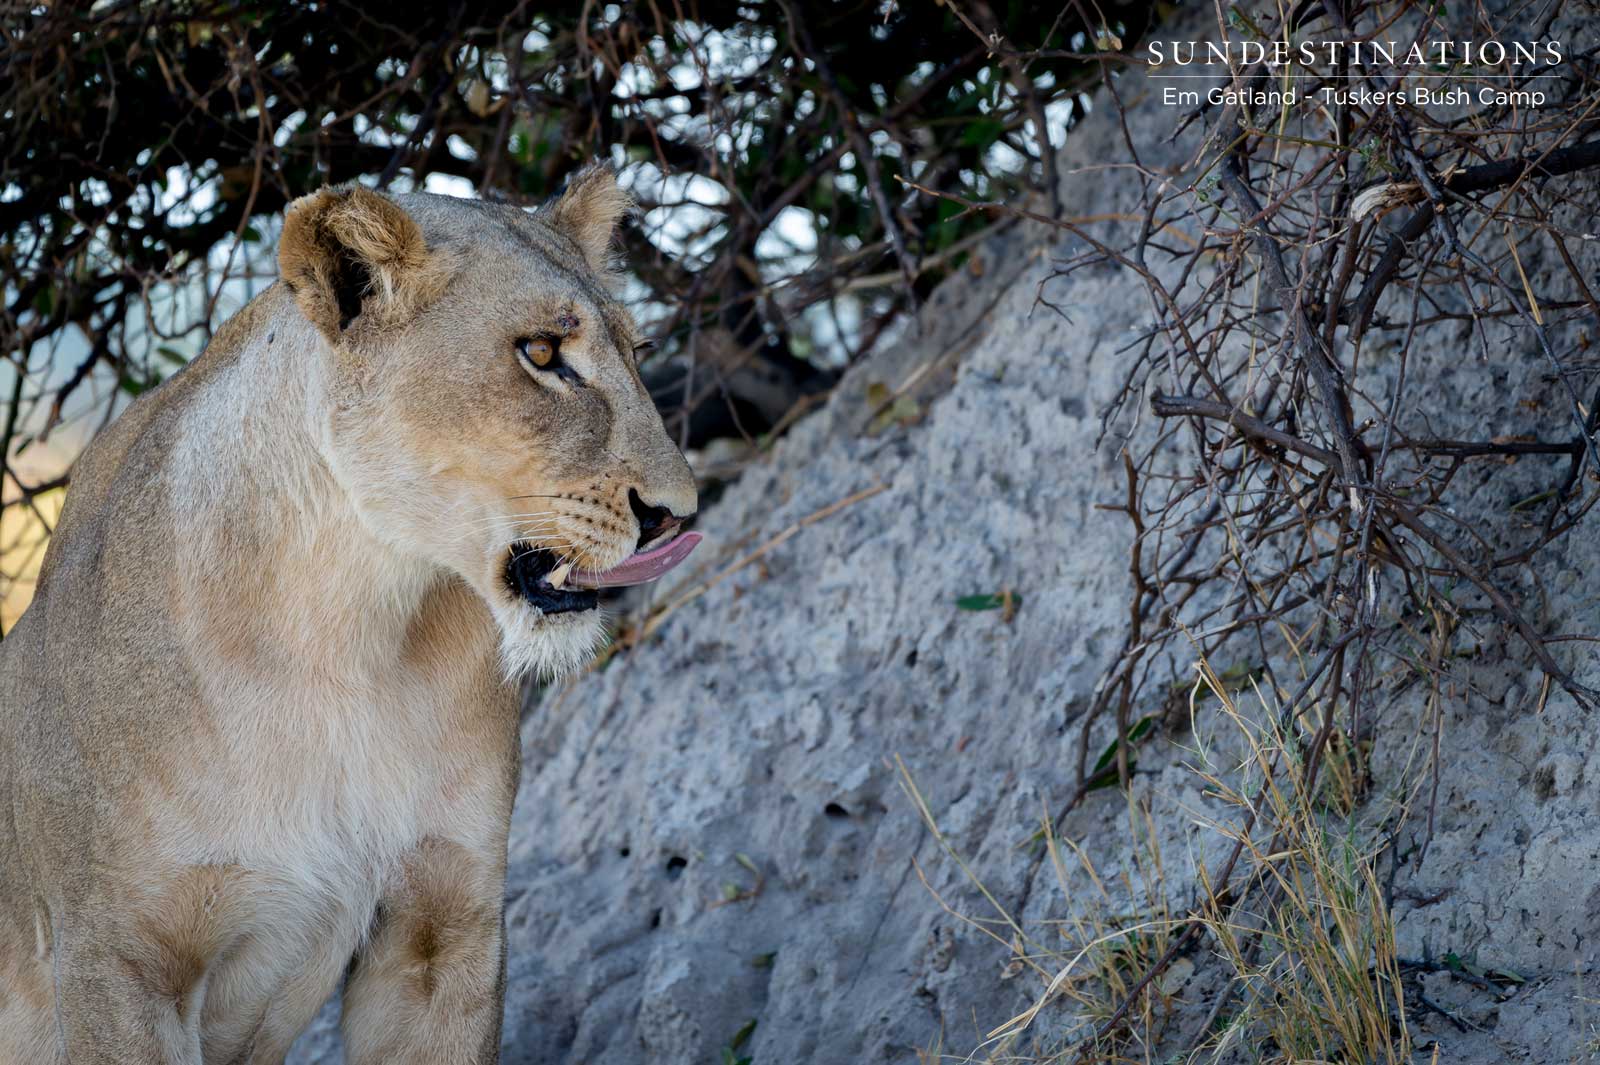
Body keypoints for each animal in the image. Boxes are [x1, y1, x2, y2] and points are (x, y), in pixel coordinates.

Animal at [0, 165, 699, 1063]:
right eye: (542, 353)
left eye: (637, 355)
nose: (678, 512)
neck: (352, 628)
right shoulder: (115, 961)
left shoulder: (442, 928)